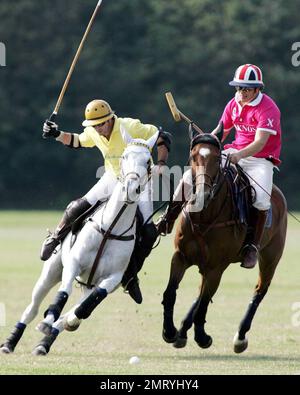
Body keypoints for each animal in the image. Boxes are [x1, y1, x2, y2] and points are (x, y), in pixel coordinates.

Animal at [0, 127, 158, 356]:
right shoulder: (74, 263)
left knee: (79, 308)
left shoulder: (113, 279)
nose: (131, 188)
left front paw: (66, 323)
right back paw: (10, 342)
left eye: (148, 162)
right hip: (51, 271)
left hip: (89, 283)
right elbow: (63, 293)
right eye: (125, 156)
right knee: (32, 308)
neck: (111, 228)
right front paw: (48, 320)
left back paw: (45, 342)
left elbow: (86, 307)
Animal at [163, 125, 288, 354]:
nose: (202, 194)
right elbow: (171, 292)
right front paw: (169, 331)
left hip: (270, 257)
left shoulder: (216, 266)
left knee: (259, 291)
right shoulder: (180, 257)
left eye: (215, 158)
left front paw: (202, 337)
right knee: (201, 292)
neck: (204, 216)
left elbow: (204, 302)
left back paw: (240, 337)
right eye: (193, 156)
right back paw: (182, 331)